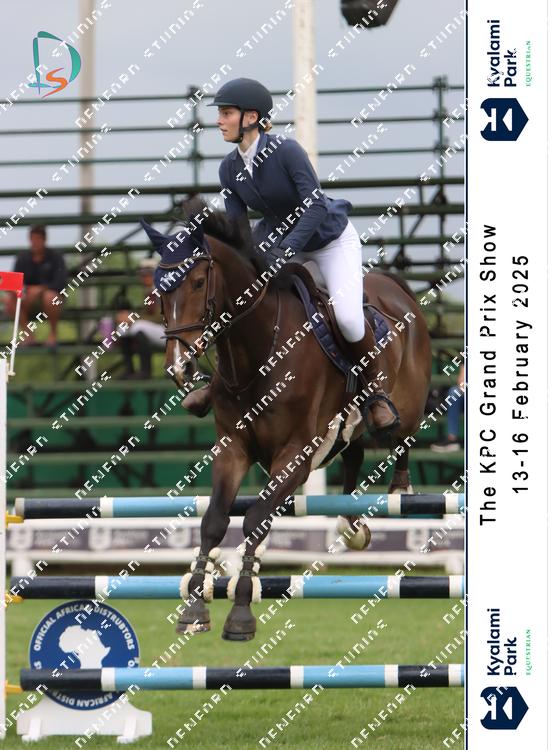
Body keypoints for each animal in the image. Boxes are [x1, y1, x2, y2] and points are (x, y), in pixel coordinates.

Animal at [141, 197, 431, 640]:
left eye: (198, 282)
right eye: (159, 288)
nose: (179, 366)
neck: (259, 351)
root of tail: (396, 288)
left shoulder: (296, 455)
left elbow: (255, 520)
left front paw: (241, 613)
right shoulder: (233, 449)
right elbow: (214, 521)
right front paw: (194, 609)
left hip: (405, 407)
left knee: (402, 435)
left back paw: (400, 487)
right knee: (353, 453)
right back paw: (352, 524)